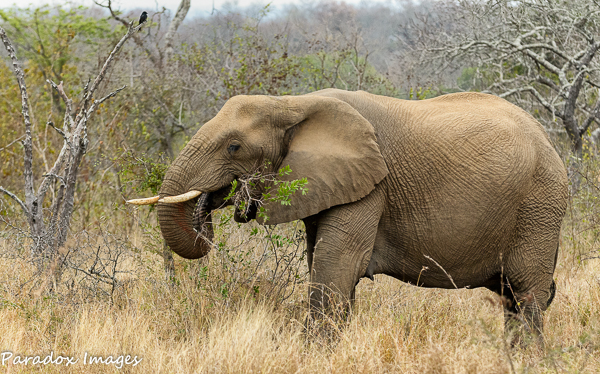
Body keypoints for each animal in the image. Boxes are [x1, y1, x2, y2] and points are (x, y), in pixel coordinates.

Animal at [127, 87, 568, 338]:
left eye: (234, 147)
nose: (220, 198)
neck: (292, 104)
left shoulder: (373, 183)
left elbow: (337, 267)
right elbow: (324, 265)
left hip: (539, 206)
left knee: (526, 294)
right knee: (512, 297)